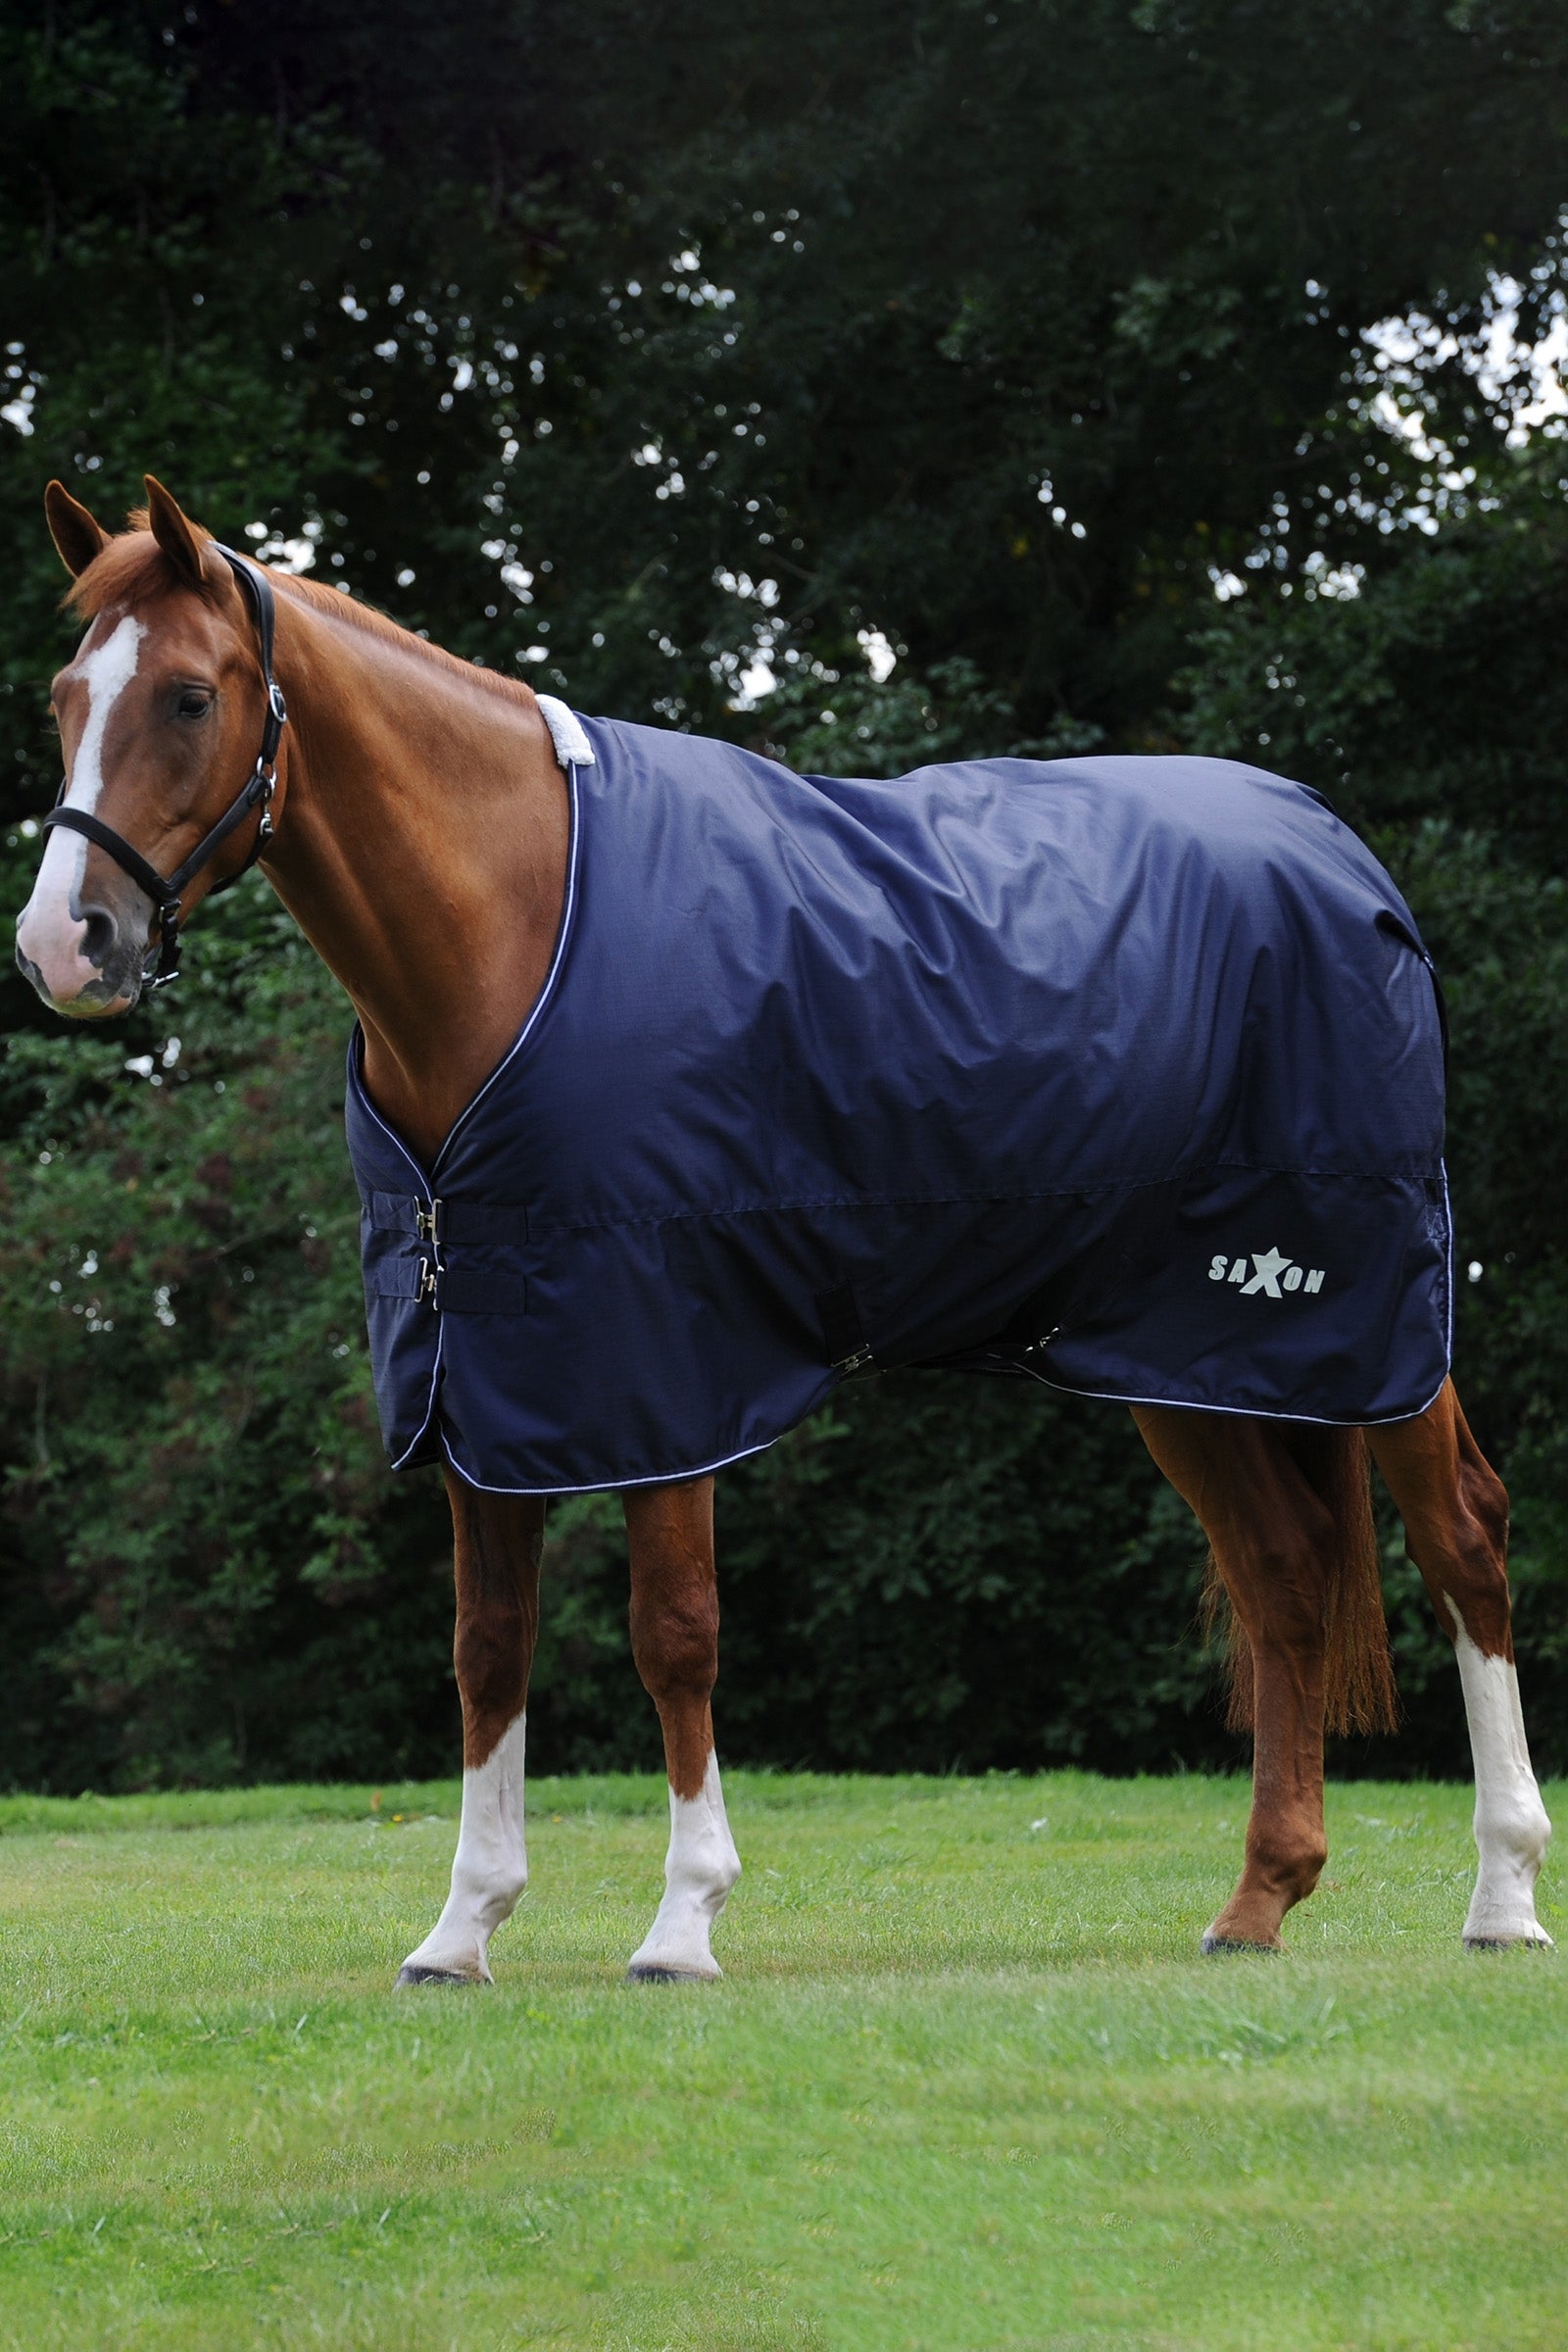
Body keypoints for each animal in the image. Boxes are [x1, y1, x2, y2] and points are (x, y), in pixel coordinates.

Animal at [13, 476, 1553, 1984]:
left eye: (190, 699)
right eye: (66, 698)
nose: (62, 944)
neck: (516, 926)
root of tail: (1332, 847)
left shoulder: (663, 1363)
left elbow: (675, 1634)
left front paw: (683, 1919)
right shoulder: (481, 1371)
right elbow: (488, 1646)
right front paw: (462, 1929)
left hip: (1366, 1313)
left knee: (1460, 1536)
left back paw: (1502, 1896)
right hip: (1184, 1354)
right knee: (1284, 1576)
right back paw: (1258, 1901)